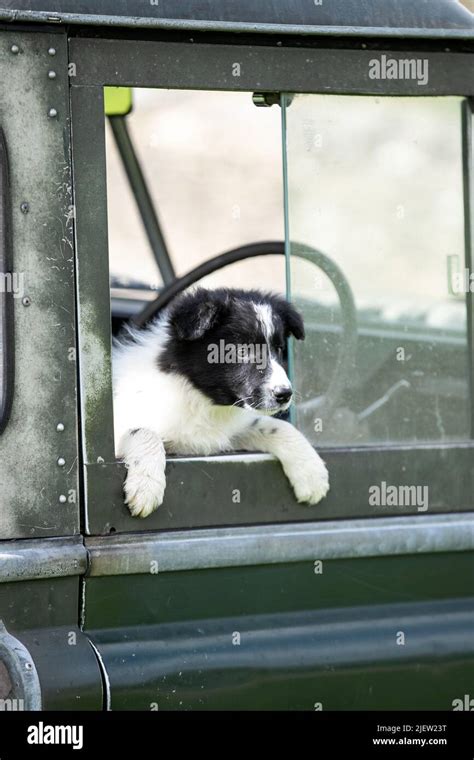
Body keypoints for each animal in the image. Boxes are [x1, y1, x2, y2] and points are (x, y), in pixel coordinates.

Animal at [114, 288, 330, 520]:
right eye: (241, 351)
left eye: (279, 349)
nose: (285, 394)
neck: (203, 401)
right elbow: (144, 432)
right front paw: (146, 486)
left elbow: (275, 426)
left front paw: (312, 473)